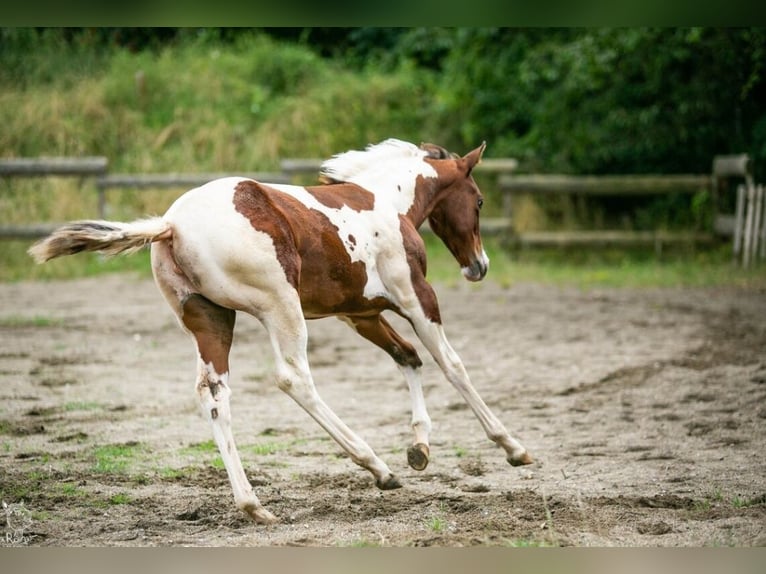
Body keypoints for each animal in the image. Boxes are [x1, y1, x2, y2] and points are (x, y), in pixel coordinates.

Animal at [30, 141, 536, 528]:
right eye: (479, 200)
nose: (479, 266)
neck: (386, 202)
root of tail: (172, 225)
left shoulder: (360, 314)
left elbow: (407, 356)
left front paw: (420, 447)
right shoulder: (414, 298)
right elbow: (452, 365)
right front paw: (512, 447)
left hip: (212, 320)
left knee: (213, 394)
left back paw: (254, 506)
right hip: (280, 306)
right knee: (294, 378)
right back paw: (375, 466)